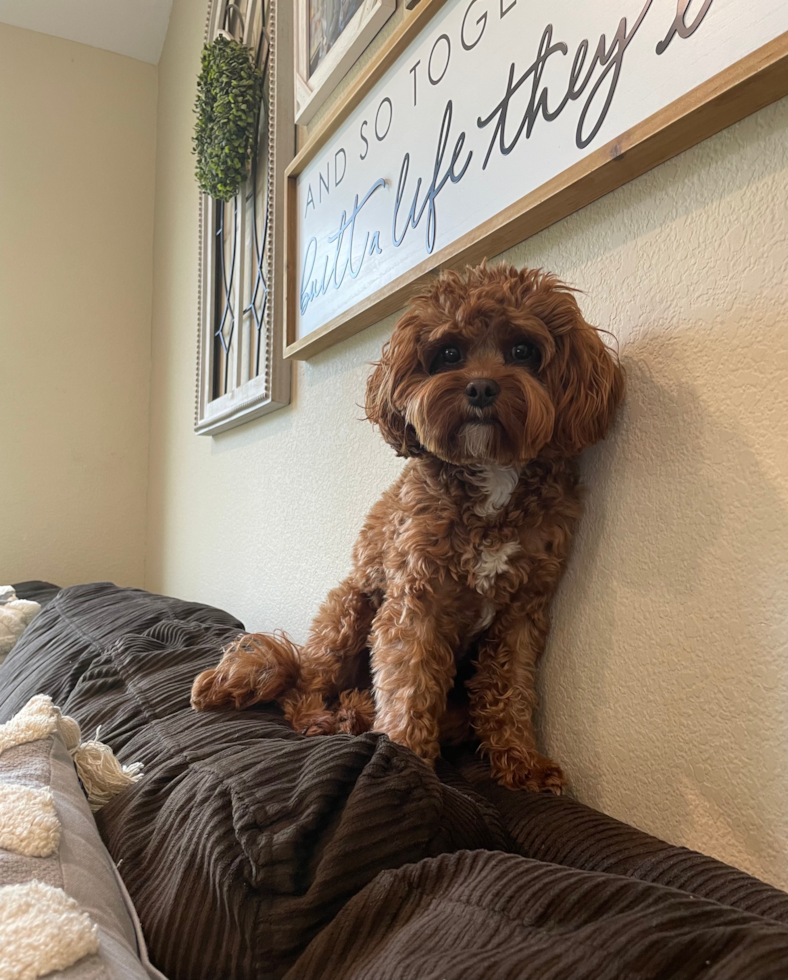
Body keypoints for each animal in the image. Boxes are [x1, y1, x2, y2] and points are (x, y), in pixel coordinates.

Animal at [191, 264, 620, 792]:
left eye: (523, 351)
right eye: (449, 354)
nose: (480, 388)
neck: (491, 473)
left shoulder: (522, 612)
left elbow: (511, 690)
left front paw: (522, 761)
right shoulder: (416, 599)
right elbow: (409, 681)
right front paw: (404, 756)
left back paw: (358, 713)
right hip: (345, 611)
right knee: (303, 687)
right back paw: (328, 716)